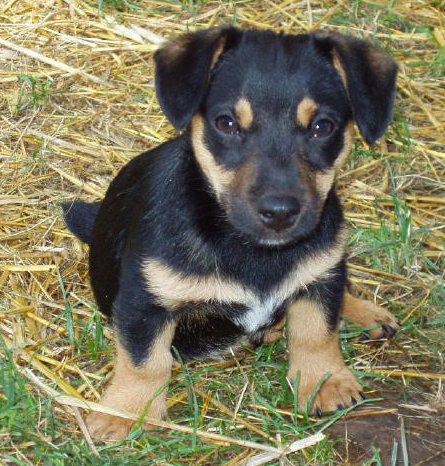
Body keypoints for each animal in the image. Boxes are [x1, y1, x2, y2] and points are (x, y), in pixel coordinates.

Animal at [62, 26, 398, 440]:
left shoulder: (321, 275)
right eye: (226, 123)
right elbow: (145, 361)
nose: (279, 212)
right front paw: (125, 413)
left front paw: (326, 382)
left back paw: (366, 313)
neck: (250, 249)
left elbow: (317, 331)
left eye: (323, 127)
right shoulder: (145, 300)